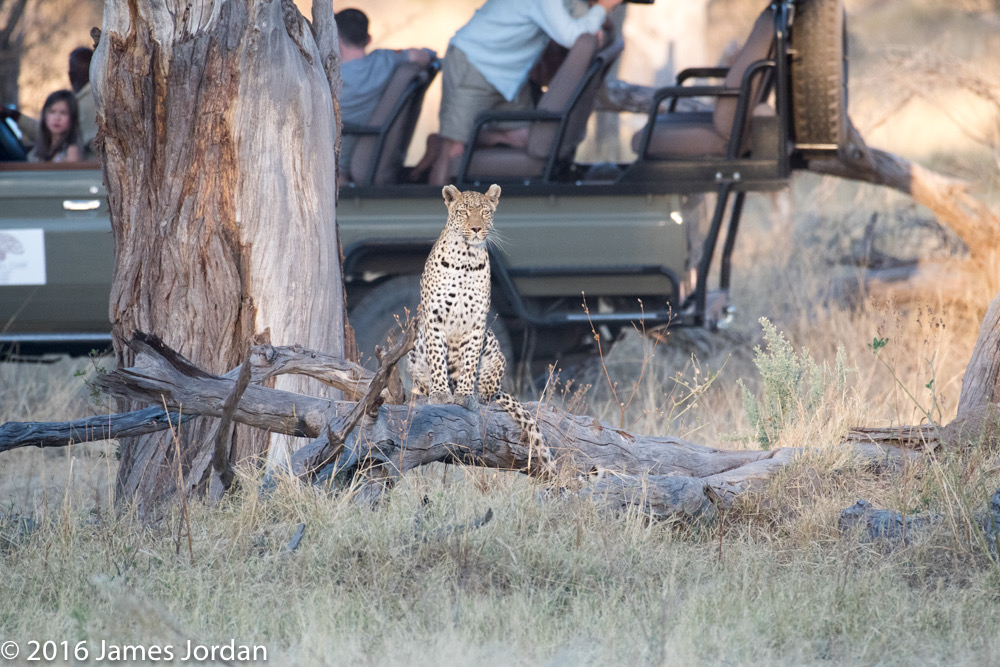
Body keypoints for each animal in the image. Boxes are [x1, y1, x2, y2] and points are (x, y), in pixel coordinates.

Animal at [406, 184, 556, 474]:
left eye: (485, 212)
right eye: (464, 212)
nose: (476, 228)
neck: (465, 259)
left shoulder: (477, 322)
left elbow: (469, 361)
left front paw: (465, 396)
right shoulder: (434, 317)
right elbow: (438, 359)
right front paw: (440, 394)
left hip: (496, 353)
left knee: (490, 390)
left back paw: (479, 393)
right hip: (413, 352)